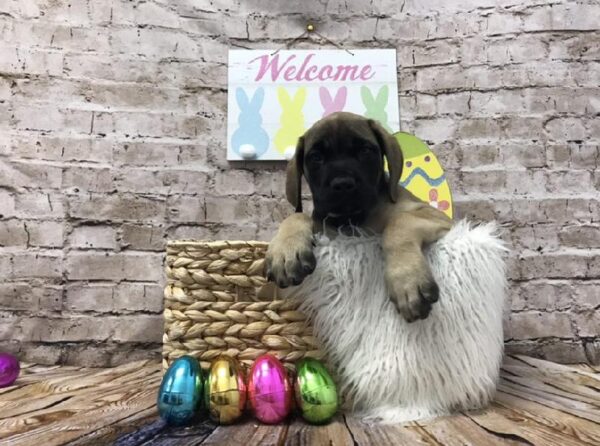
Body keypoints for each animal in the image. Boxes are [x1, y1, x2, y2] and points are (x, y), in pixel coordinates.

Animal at [264, 111, 452, 320]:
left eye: (365, 150)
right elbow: (296, 217)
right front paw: (286, 251)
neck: (352, 220)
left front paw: (407, 279)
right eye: (316, 157)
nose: (343, 183)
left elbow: (399, 222)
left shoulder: (435, 215)